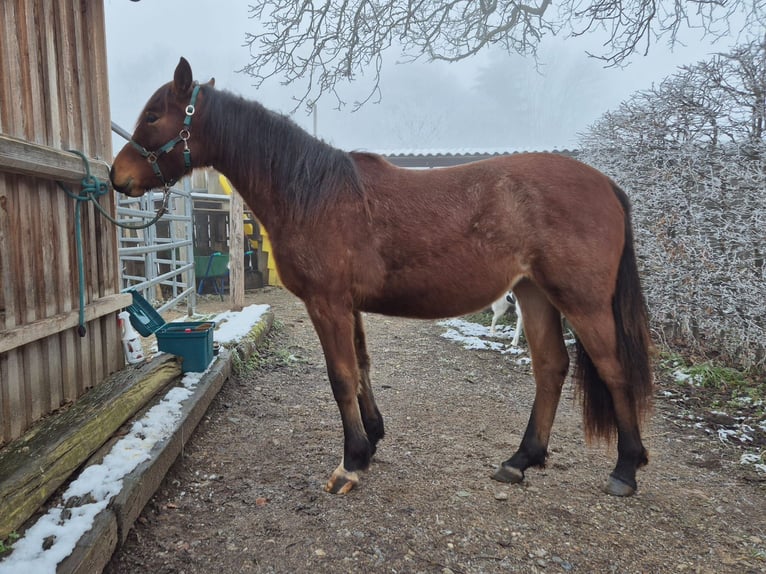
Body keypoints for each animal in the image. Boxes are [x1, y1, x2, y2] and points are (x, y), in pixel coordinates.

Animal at [109, 59, 656, 500]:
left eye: (154, 115)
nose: (117, 177)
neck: (312, 192)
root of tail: (607, 184)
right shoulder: (348, 304)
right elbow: (363, 368)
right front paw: (372, 439)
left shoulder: (327, 303)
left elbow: (341, 376)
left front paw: (351, 462)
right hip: (533, 293)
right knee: (550, 367)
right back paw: (521, 460)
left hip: (581, 302)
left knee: (614, 370)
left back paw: (626, 469)